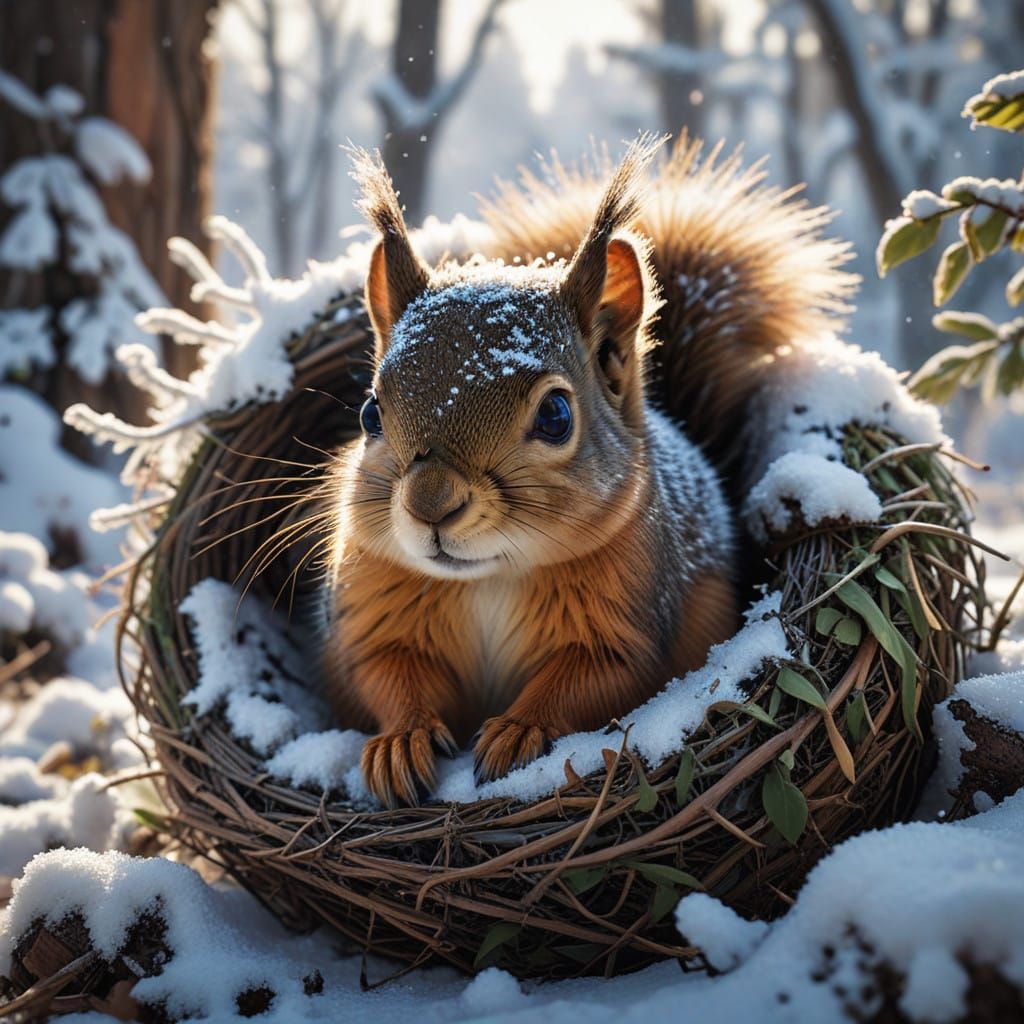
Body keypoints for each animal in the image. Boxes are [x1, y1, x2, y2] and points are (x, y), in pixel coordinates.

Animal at [322, 134, 856, 808]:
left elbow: (587, 682)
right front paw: (401, 740)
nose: (430, 504)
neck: (490, 578)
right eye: (370, 412)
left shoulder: (625, 626)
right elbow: (386, 673)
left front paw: (519, 731)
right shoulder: (376, 616)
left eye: (555, 415)